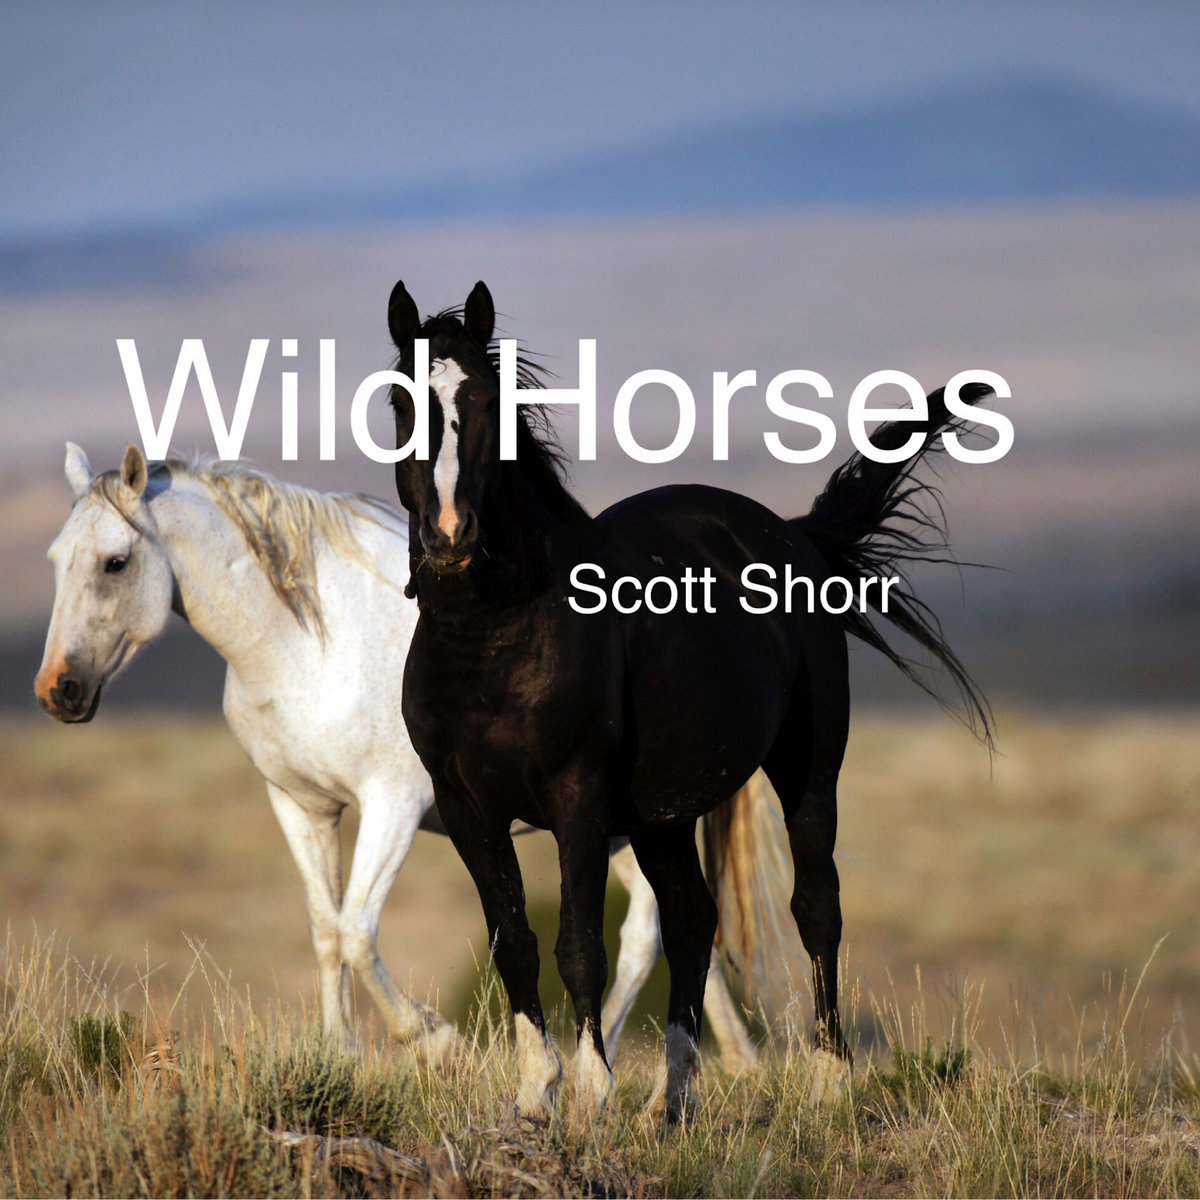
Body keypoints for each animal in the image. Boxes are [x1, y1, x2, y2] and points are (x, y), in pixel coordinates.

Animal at [33, 443, 770, 1068]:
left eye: (116, 562)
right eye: (56, 559)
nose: (57, 690)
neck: (311, 643)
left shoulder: (393, 806)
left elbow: (358, 930)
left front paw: (435, 1042)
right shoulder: (302, 805)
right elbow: (325, 929)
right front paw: (339, 1059)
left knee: (648, 931)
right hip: (618, 825)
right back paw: (719, 1069)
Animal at [385, 280, 993, 1123]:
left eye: (485, 400)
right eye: (398, 402)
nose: (449, 535)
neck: (495, 641)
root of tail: (794, 535)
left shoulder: (577, 798)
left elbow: (578, 943)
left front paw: (592, 1094)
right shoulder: (468, 807)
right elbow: (515, 943)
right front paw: (537, 1097)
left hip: (807, 768)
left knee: (817, 906)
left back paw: (828, 1080)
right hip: (661, 816)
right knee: (692, 920)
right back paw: (671, 1103)